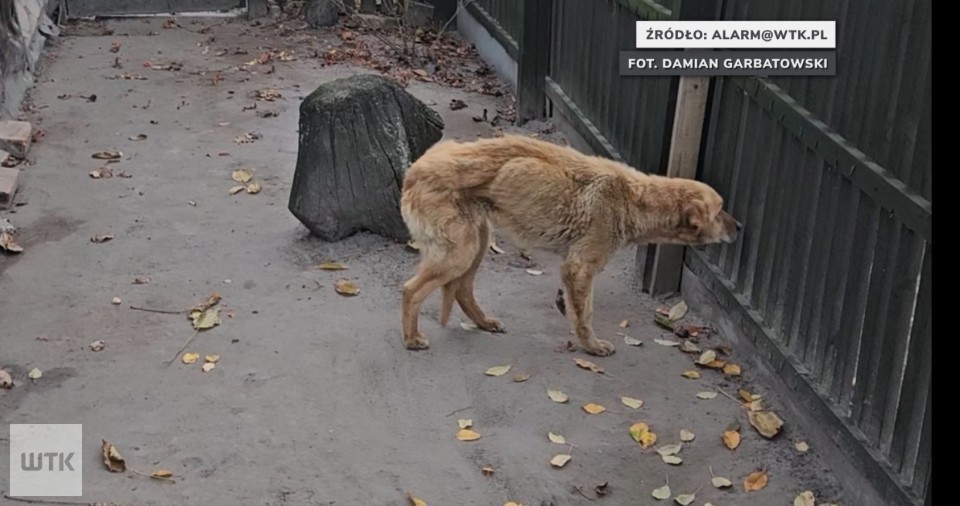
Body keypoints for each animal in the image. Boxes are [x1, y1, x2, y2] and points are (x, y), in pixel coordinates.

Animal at [402, 135, 740, 356]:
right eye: (720, 209)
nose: (740, 228)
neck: (633, 198)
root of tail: (414, 169)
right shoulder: (580, 267)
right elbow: (585, 315)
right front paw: (591, 346)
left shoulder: (574, 269)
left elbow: (577, 309)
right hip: (460, 253)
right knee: (410, 290)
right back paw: (412, 338)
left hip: (477, 244)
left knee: (461, 289)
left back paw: (483, 323)